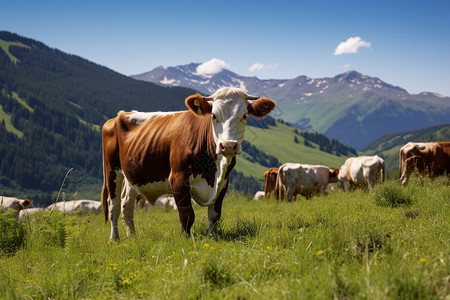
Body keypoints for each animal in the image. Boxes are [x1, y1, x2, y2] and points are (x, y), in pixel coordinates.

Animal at [102, 87, 276, 241]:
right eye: (213, 115)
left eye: (244, 115)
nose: (227, 145)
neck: (214, 171)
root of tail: (120, 114)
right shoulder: (178, 178)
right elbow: (187, 215)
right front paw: (186, 239)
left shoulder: (224, 182)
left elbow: (215, 214)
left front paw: (212, 237)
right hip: (111, 170)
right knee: (114, 206)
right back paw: (114, 238)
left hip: (131, 175)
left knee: (126, 205)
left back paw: (132, 236)